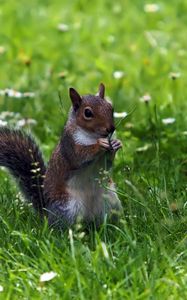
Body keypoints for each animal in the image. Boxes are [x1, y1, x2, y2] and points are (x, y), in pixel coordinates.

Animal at [0, 83, 122, 229]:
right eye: (87, 113)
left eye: (111, 108)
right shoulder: (69, 145)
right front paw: (100, 144)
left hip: (111, 200)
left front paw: (115, 143)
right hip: (67, 207)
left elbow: (106, 164)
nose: (111, 128)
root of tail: (47, 213)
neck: (92, 136)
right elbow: (80, 156)